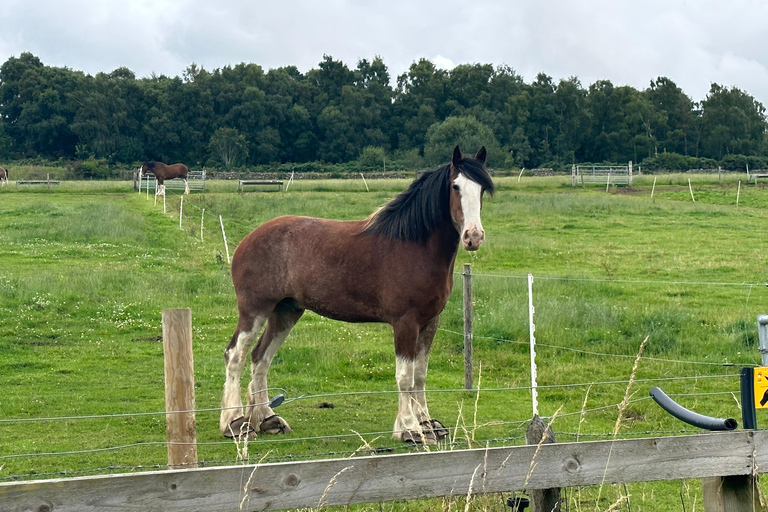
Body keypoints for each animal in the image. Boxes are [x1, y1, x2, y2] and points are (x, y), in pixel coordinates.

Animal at [219, 145, 496, 444]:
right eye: (456, 186)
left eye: (482, 188)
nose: (473, 237)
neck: (416, 248)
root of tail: (247, 241)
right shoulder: (405, 323)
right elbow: (405, 376)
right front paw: (409, 429)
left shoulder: (430, 322)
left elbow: (420, 375)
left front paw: (427, 423)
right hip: (255, 310)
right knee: (235, 355)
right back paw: (235, 423)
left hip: (286, 312)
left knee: (261, 356)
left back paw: (268, 419)